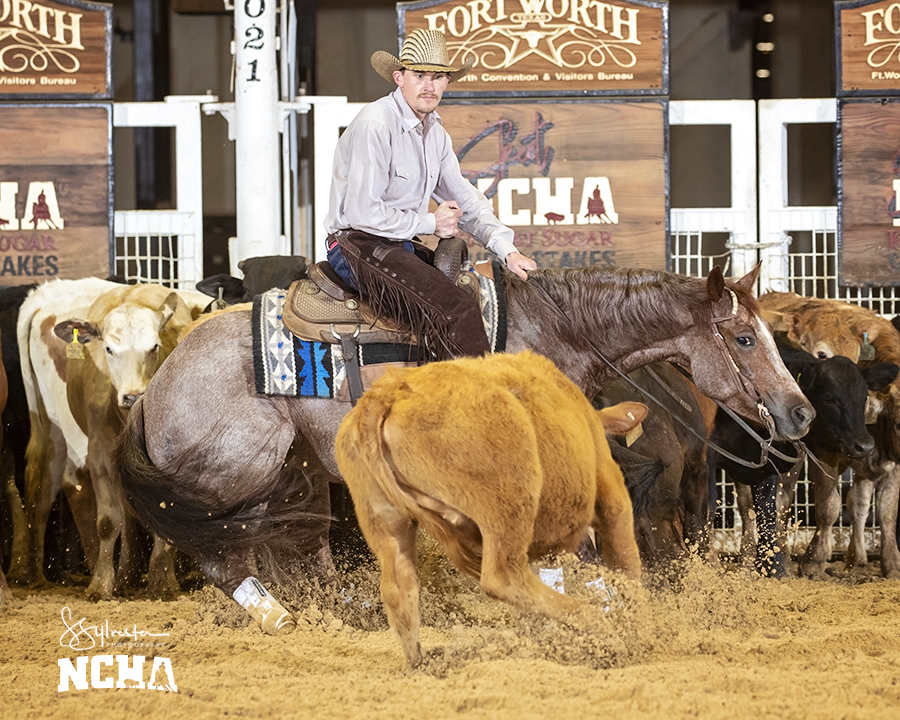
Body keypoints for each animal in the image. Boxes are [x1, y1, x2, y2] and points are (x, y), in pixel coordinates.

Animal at [115, 264, 814, 631]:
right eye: (744, 338)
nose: (800, 412)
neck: (553, 331)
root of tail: (153, 390)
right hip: (243, 472)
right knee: (226, 555)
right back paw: (280, 617)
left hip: (295, 470)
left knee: (288, 547)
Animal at [334, 350, 647, 669]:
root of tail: (389, 391)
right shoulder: (613, 496)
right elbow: (627, 567)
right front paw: (639, 631)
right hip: (508, 503)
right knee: (504, 578)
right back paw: (601, 628)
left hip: (384, 520)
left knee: (399, 587)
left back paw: (419, 662)